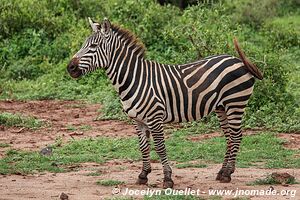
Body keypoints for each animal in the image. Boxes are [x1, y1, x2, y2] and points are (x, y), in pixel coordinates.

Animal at [67, 18, 262, 188]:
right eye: (84, 44)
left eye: (93, 46)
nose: (70, 68)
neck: (135, 79)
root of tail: (238, 60)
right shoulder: (137, 120)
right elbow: (143, 147)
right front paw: (143, 175)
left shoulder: (155, 117)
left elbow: (160, 147)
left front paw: (167, 178)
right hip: (221, 107)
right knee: (229, 137)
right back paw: (222, 172)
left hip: (235, 103)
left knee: (236, 136)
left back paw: (228, 173)